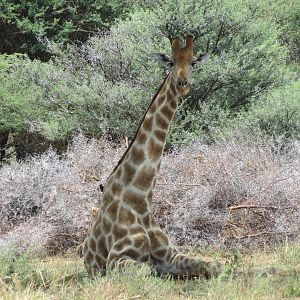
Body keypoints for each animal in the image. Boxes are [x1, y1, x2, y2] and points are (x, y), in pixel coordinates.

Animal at [81, 35, 220, 278]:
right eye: (170, 62)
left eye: (193, 62)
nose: (182, 84)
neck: (141, 198)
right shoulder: (115, 259)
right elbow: (147, 270)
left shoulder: (171, 255)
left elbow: (214, 265)